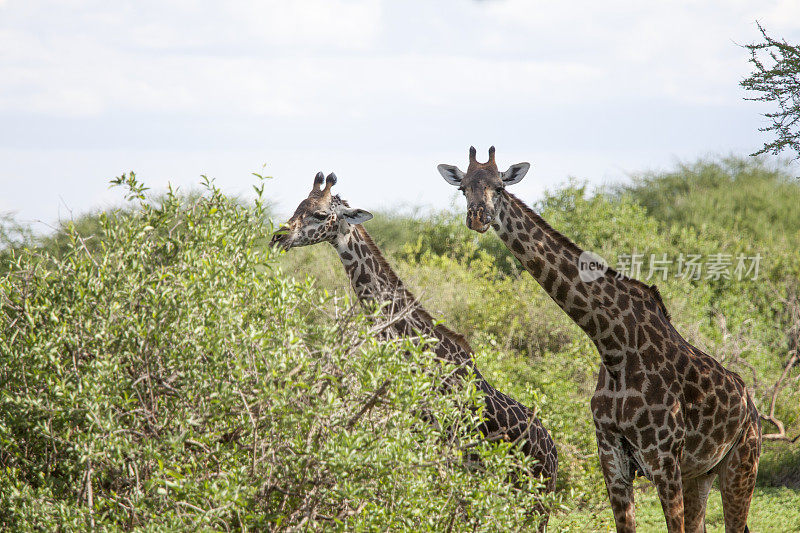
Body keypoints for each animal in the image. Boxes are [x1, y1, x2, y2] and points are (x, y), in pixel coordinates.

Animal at [268, 171, 556, 502]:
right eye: (299, 205)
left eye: (319, 214)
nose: (278, 237)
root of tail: (555, 458)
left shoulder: (444, 438)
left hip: (535, 495)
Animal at [440, 147, 760, 532]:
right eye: (463, 189)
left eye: (500, 187)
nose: (477, 217)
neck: (612, 344)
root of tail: (750, 403)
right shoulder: (612, 458)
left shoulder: (664, 459)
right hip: (702, 474)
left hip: (741, 464)